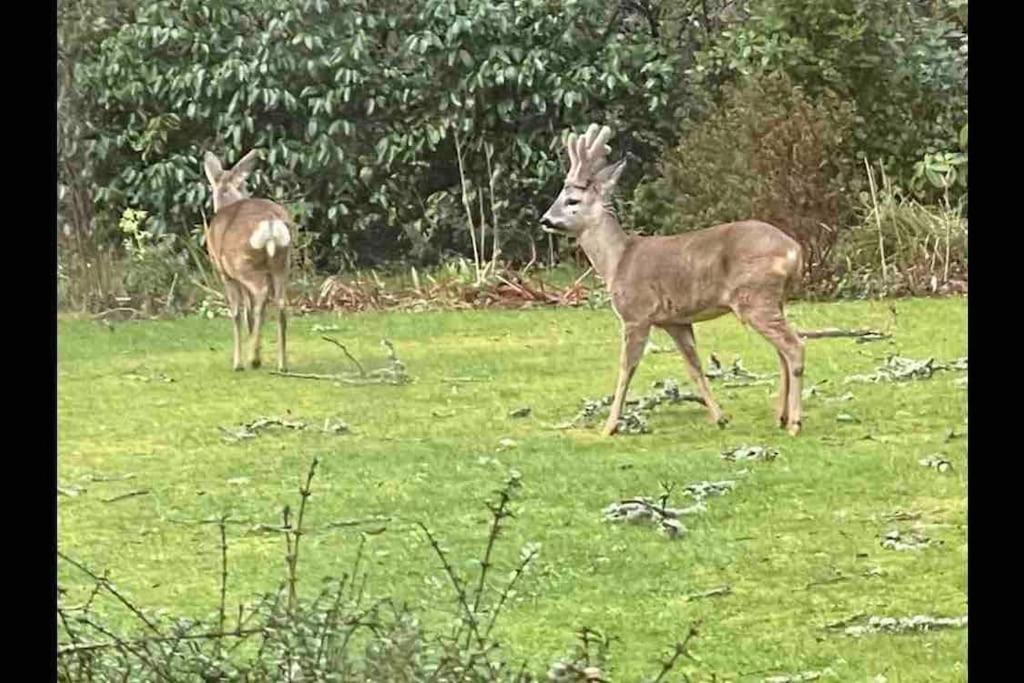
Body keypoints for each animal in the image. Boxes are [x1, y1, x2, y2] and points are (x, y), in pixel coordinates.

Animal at [202, 150, 292, 374]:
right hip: (282, 263)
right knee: (280, 303)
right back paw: (281, 364)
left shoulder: (225, 274)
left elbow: (236, 312)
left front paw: (237, 362)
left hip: (244, 265)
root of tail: (271, 223)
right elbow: (248, 311)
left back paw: (253, 359)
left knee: (261, 295)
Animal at [540, 124, 811, 436]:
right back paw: (780, 417)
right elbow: (694, 366)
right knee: (782, 351)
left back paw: (794, 423)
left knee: (794, 347)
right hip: (772, 300)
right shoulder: (676, 320)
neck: (617, 261)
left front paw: (609, 426)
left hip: (754, 297)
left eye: (572, 200)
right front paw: (719, 417)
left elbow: (626, 369)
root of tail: (795, 250)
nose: (545, 219)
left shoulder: (636, 314)